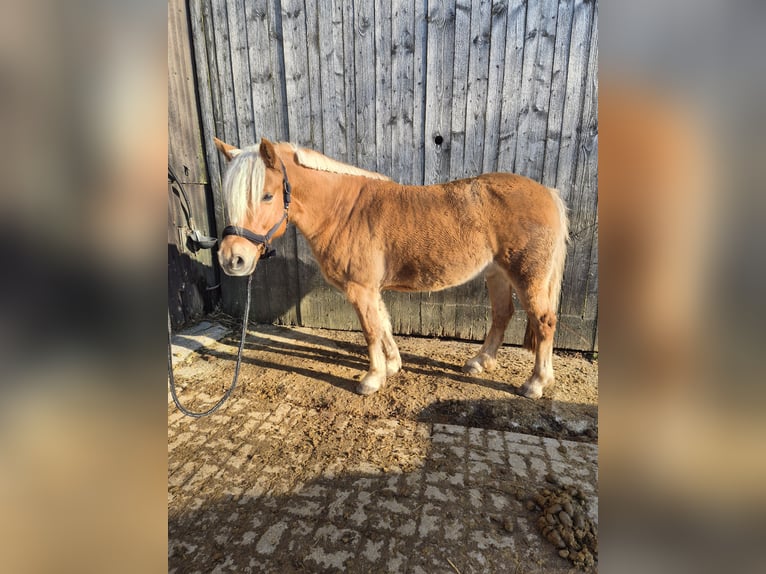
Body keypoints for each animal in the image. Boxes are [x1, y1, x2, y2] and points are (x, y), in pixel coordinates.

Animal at [213, 138, 568, 400]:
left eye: (266, 195)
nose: (232, 259)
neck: (343, 211)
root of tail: (547, 193)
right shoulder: (370, 289)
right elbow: (383, 324)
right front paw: (393, 365)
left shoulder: (360, 288)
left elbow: (371, 330)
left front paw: (372, 378)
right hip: (497, 274)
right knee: (502, 315)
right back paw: (480, 362)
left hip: (528, 277)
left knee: (544, 322)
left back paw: (536, 383)